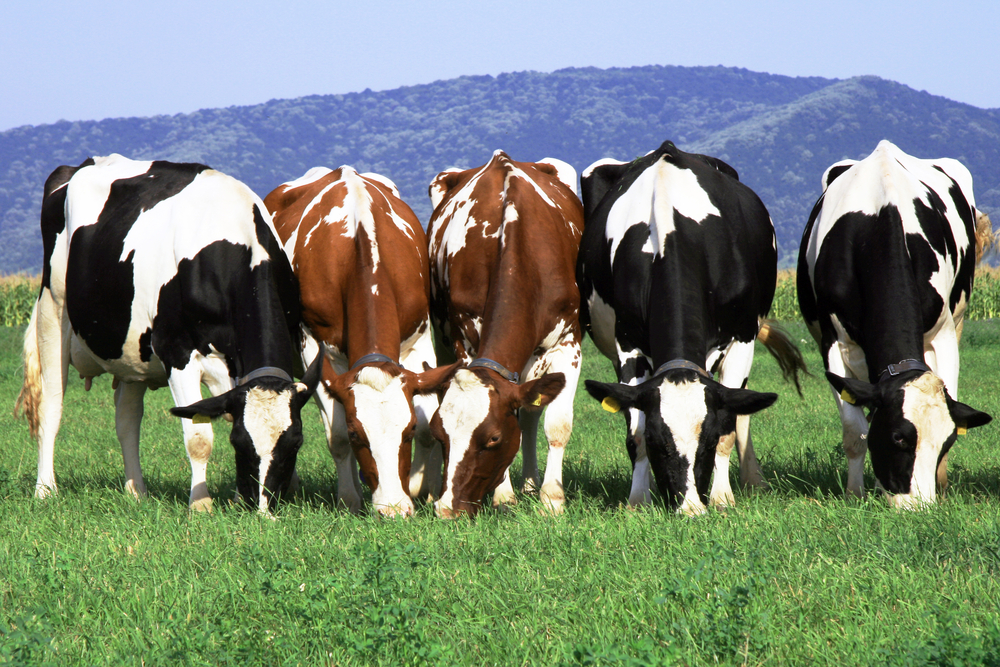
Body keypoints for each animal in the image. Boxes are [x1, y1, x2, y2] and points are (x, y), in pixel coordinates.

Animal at [15, 154, 320, 516]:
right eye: (239, 442)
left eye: (296, 442)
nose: (263, 511)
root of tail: (81, 164)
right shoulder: (178, 352)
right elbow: (199, 437)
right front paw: (201, 506)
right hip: (53, 308)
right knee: (52, 404)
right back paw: (45, 489)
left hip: (131, 350)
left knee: (127, 419)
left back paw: (137, 491)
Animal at [264, 166, 456, 516]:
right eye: (358, 434)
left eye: (407, 430)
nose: (393, 510)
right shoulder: (317, 350)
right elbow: (336, 436)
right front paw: (349, 499)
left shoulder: (419, 338)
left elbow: (427, 426)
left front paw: (420, 489)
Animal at [426, 150, 584, 516]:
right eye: (441, 435)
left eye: (493, 438)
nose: (448, 509)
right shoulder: (464, 343)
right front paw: (503, 495)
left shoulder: (568, 344)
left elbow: (557, 423)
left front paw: (551, 498)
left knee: (530, 415)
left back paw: (531, 484)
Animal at [576, 141, 800, 516]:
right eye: (659, 443)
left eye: (707, 441)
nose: (691, 508)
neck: (672, 233)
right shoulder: (627, 342)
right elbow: (634, 429)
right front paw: (638, 500)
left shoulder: (742, 338)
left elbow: (730, 424)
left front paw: (723, 498)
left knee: (743, 413)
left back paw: (753, 480)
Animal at [796, 140, 992, 506]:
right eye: (899, 437)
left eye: (946, 441)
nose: (920, 507)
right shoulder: (834, 342)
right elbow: (855, 431)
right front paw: (855, 493)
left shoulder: (944, 334)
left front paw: (940, 486)